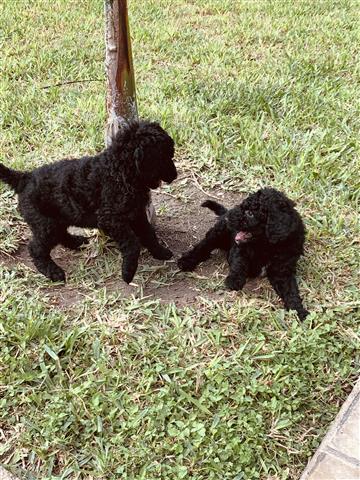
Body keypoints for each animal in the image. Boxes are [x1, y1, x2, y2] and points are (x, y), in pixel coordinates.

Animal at [0, 120, 177, 284]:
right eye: (164, 156)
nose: (175, 175)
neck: (120, 171)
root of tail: (25, 178)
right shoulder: (111, 219)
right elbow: (132, 243)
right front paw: (128, 272)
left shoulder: (136, 213)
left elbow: (149, 233)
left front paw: (161, 252)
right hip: (46, 224)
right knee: (36, 248)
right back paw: (54, 272)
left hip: (58, 218)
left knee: (60, 234)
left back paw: (76, 242)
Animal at [179, 189, 308, 320]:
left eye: (250, 213)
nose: (228, 218)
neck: (267, 245)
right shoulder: (239, 248)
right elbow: (240, 262)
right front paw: (234, 280)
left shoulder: (283, 270)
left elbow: (291, 290)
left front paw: (299, 311)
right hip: (219, 233)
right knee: (204, 245)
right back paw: (186, 261)